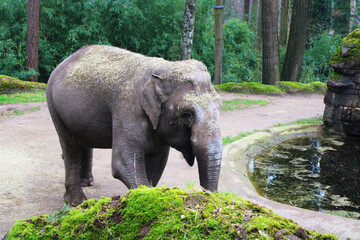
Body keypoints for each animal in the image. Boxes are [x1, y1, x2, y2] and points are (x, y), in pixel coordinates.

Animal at [47, 45, 222, 206]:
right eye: (187, 114)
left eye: (220, 105)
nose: (205, 194)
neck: (164, 69)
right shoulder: (128, 109)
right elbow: (123, 162)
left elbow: (157, 163)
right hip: (54, 107)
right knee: (71, 148)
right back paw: (76, 202)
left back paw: (87, 182)